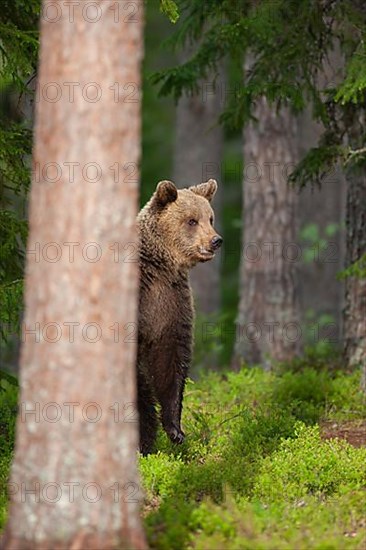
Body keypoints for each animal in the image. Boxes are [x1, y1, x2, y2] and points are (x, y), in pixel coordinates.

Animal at [137, 179, 223, 454]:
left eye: (210, 218)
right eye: (192, 220)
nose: (216, 240)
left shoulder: (171, 302)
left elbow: (171, 357)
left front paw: (175, 429)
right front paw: (145, 436)